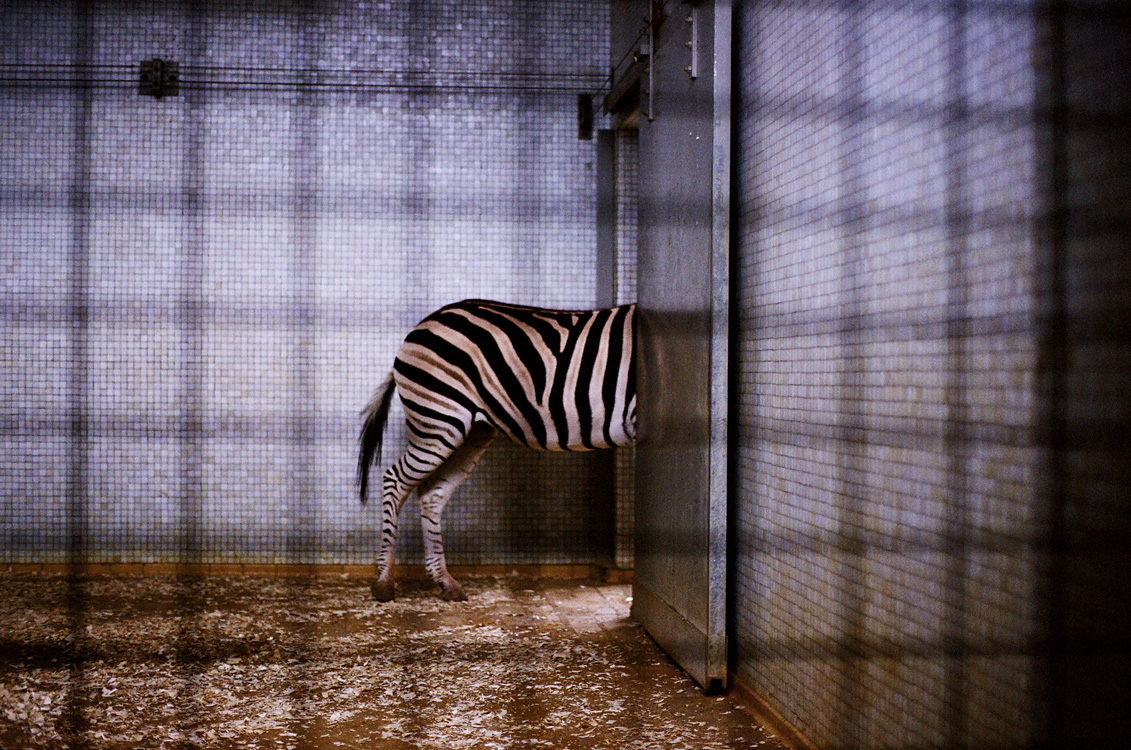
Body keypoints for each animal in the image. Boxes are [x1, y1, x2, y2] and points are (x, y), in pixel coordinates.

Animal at [357, 299, 636, 602]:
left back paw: (445, 582)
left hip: (472, 432)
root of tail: (425, 322)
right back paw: (384, 581)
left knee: (432, 494)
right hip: (438, 422)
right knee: (394, 480)